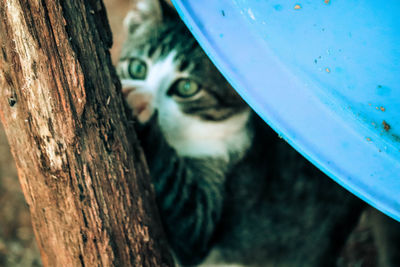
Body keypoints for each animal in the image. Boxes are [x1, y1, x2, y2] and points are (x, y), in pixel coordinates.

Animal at [117, 0, 400, 266]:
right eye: (138, 68)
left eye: (187, 87)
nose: (148, 92)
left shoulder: (206, 211)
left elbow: (187, 212)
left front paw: (139, 103)